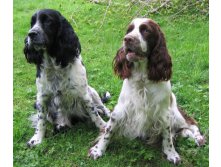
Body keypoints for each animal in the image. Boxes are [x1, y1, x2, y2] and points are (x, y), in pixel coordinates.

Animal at [23, 9, 110, 147]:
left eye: (48, 21)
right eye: (32, 22)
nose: (31, 34)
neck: (54, 65)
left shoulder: (84, 94)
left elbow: (94, 113)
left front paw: (103, 126)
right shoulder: (41, 97)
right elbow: (41, 120)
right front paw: (36, 139)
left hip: (92, 91)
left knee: (102, 107)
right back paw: (61, 125)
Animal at [88, 18, 205, 164]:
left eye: (146, 30)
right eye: (129, 30)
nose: (127, 39)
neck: (142, 79)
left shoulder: (164, 113)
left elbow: (167, 137)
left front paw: (172, 154)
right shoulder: (120, 110)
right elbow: (107, 132)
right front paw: (98, 150)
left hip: (175, 113)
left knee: (191, 124)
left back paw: (199, 138)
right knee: (183, 130)